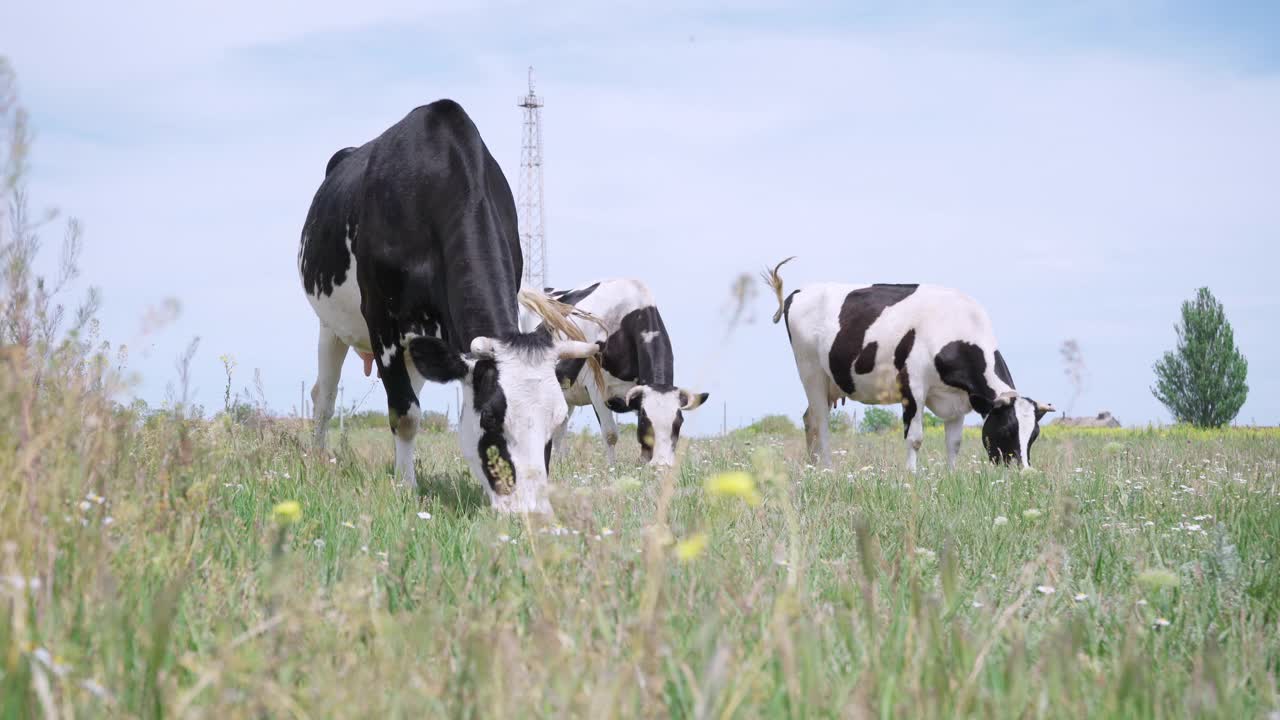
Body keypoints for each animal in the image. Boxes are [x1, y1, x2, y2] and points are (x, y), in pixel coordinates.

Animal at [296, 101, 596, 512]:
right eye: (491, 419)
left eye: (557, 420)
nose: (530, 512)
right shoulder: (382, 321)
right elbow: (405, 414)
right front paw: (407, 489)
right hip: (332, 326)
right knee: (324, 398)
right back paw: (318, 458)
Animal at [517, 274, 711, 466]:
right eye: (646, 421)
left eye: (679, 422)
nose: (661, 465)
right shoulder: (596, 387)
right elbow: (610, 434)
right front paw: (612, 468)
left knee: (559, 428)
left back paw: (561, 463)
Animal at [762, 257, 1054, 471]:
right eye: (1006, 429)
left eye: (1035, 435)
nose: (1025, 472)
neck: (955, 326)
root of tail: (801, 291)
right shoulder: (913, 385)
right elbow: (915, 439)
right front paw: (911, 478)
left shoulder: (957, 399)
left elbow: (954, 443)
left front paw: (952, 476)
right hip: (810, 371)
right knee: (821, 423)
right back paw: (827, 470)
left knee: (809, 419)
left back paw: (813, 469)